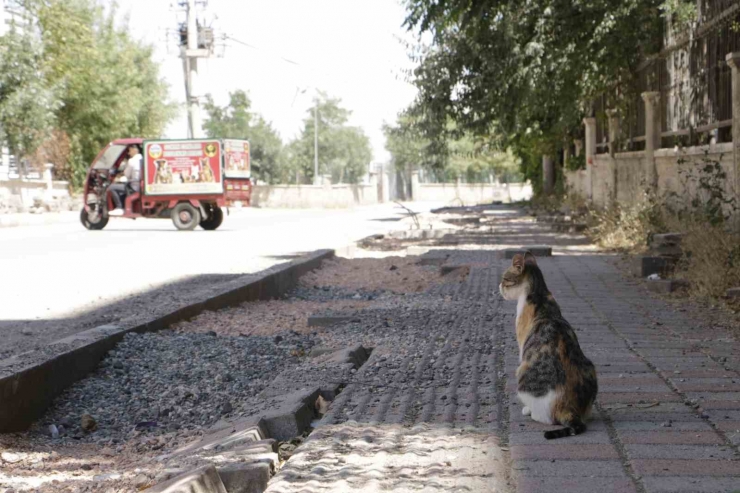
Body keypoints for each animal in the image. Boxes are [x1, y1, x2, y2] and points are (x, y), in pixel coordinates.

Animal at [498, 252, 596, 436]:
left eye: (505, 278)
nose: (499, 285)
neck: (539, 293)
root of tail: (569, 409)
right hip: (591, 368)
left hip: (522, 372)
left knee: (546, 418)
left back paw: (530, 412)